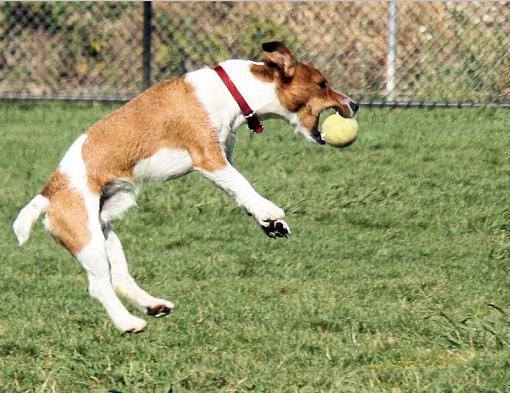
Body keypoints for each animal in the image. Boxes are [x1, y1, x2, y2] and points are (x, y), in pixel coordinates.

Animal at [10, 42, 354, 330]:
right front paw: (269, 211)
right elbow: (244, 185)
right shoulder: (210, 159)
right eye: (322, 84)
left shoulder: (223, 161)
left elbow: (239, 193)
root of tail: (48, 193)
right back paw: (128, 323)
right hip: (87, 239)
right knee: (99, 286)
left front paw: (269, 222)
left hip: (105, 233)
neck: (233, 90)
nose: (355, 104)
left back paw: (153, 305)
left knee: (120, 278)